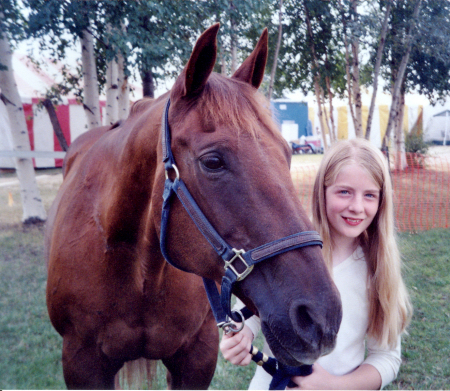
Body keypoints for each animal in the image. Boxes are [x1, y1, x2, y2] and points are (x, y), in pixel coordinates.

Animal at [44, 23, 342, 388]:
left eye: (287, 153)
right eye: (212, 161)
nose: (320, 317)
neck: (139, 271)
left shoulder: (197, 357)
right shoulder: (82, 363)